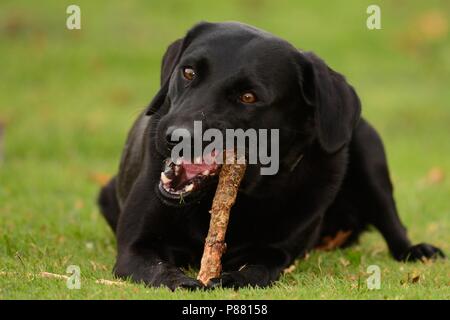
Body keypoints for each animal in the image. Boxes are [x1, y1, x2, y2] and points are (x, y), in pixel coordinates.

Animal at [97, 20, 442, 290]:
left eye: (249, 97)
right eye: (189, 73)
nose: (176, 137)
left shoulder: (277, 251)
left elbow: (259, 268)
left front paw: (232, 278)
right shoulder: (135, 247)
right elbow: (158, 269)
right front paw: (183, 281)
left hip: (369, 148)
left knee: (392, 223)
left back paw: (417, 251)